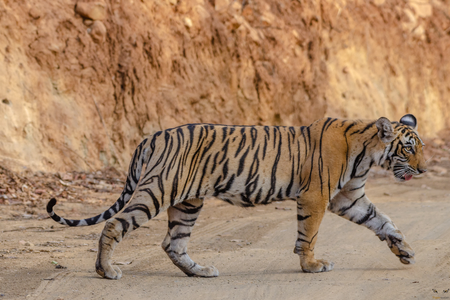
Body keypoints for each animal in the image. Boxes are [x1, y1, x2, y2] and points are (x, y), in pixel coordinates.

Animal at [45, 114, 426, 278]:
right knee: (114, 225)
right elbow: (309, 235)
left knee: (173, 242)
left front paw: (405, 250)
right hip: (157, 190)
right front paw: (311, 266)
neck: (368, 154)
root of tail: (150, 136)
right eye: (408, 149)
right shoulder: (317, 196)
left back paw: (199, 271)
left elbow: (383, 221)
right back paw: (105, 270)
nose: (423, 170)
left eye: (419, 147)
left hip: (187, 202)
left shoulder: (348, 198)